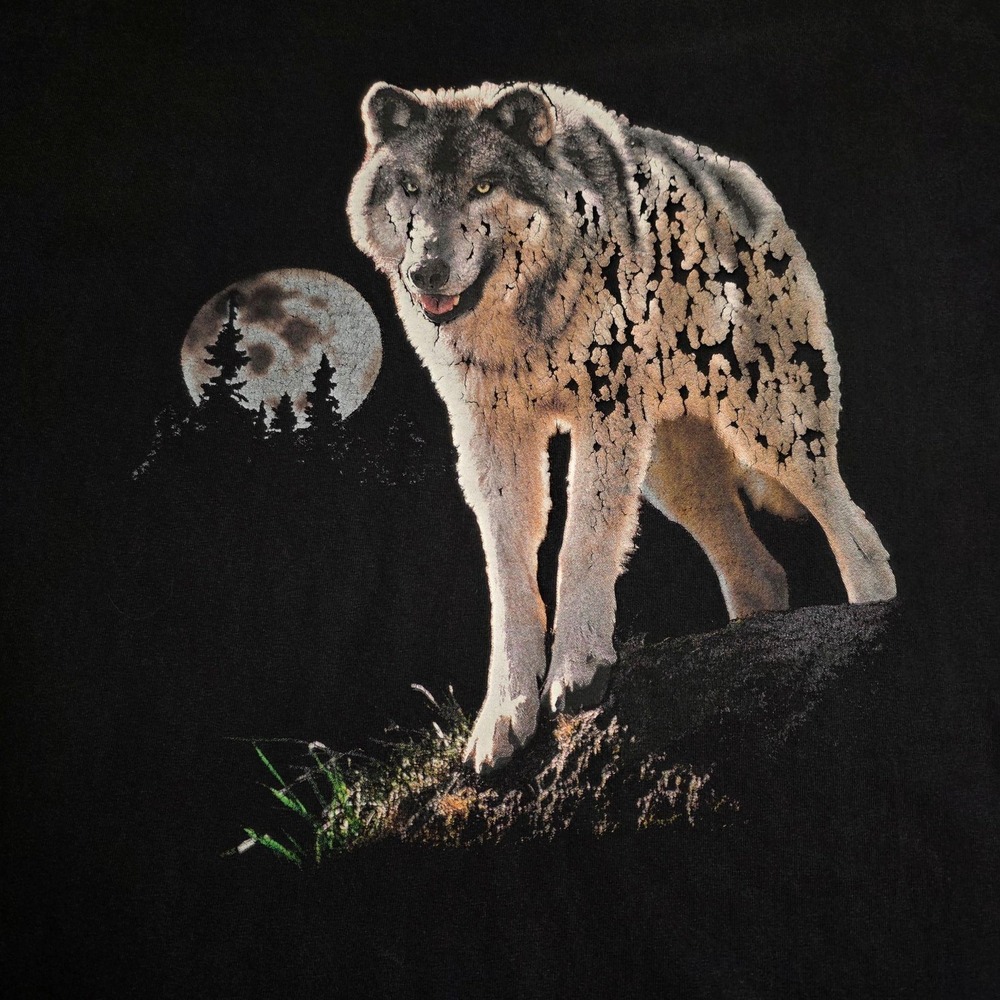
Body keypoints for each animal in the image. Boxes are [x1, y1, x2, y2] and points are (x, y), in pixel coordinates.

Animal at [348, 82, 896, 773]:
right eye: (412, 187)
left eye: (482, 186)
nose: (427, 270)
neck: (520, 329)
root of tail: (742, 180)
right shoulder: (490, 438)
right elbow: (508, 575)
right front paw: (503, 719)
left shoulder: (605, 416)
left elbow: (581, 544)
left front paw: (578, 673)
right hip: (672, 480)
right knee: (761, 572)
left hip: (770, 433)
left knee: (855, 529)